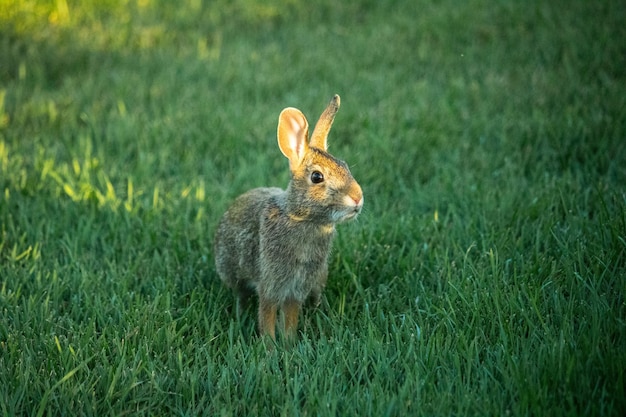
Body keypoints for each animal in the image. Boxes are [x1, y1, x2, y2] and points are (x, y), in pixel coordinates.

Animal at [213, 95, 364, 342]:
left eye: (345, 166)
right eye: (317, 177)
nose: (358, 198)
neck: (301, 218)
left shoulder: (296, 288)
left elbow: (290, 317)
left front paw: (289, 343)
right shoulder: (271, 285)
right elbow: (267, 315)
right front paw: (269, 346)